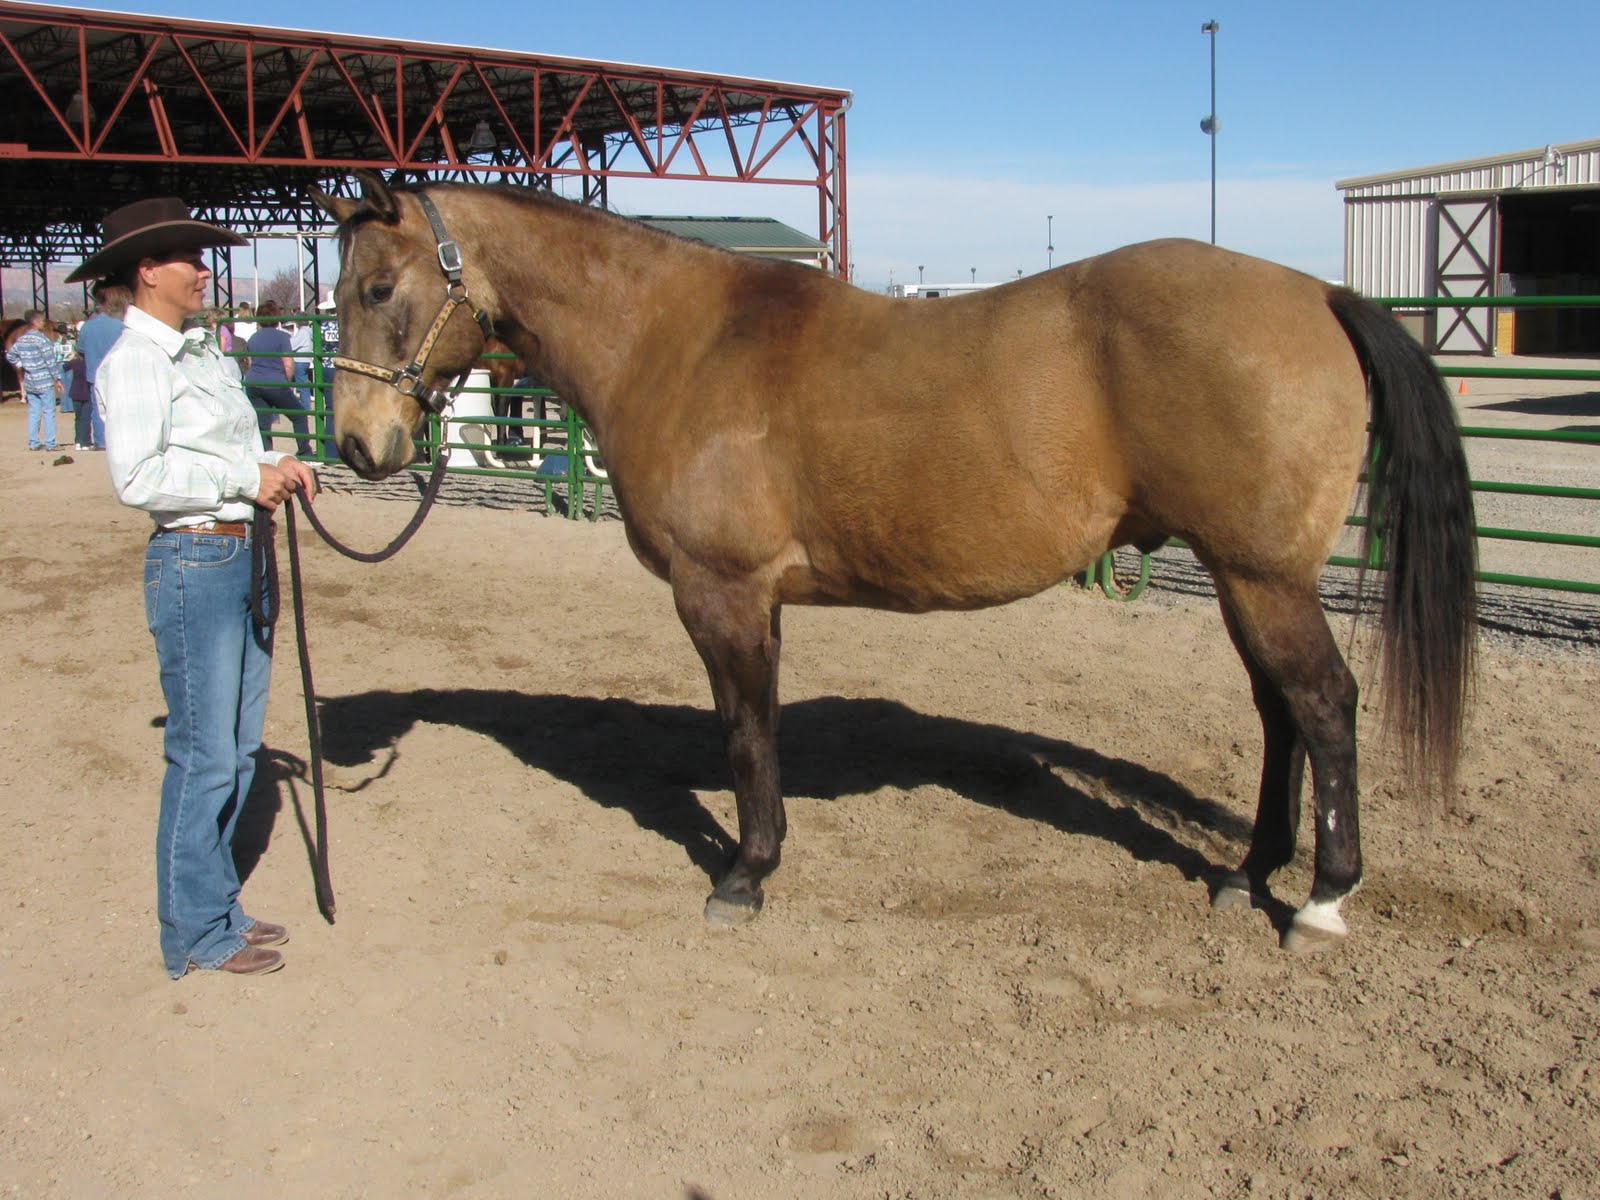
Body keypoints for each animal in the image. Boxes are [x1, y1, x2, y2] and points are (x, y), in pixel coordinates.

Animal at [314, 170, 1476, 953]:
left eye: (374, 289)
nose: (359, 447)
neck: (677, 342)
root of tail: (1318, 293)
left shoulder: (721, 593)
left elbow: (744, 735)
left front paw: (744, 877)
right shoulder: (757, 601)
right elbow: (759, 731)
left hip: (1260, 577)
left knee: (1323, 705)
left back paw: (1320, 900)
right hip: (1245, 580)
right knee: (1282, 716)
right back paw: (1248, 874)